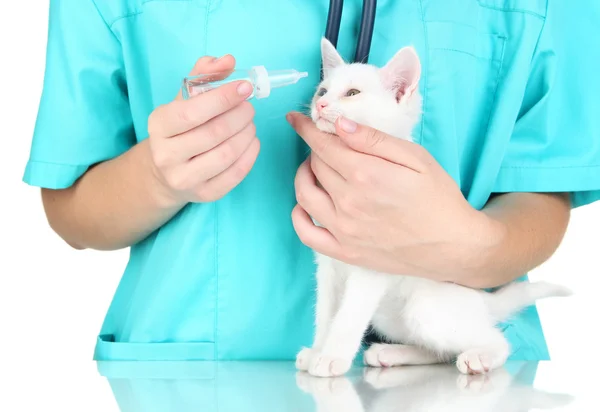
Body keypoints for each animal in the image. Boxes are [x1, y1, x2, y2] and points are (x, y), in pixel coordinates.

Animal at [296, 38, 572, 376]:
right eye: (323, 90)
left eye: (352, 93)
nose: (321, 105)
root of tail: (481, 303)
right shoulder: (328, 266)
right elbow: (326, 312)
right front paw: (318, 349)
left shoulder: (372, 264)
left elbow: (348, 315)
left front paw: (333, 356)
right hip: (393, 317)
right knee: (438, 351)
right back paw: (391, 353)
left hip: (425, 308)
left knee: (496, 341)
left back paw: (481, 356)